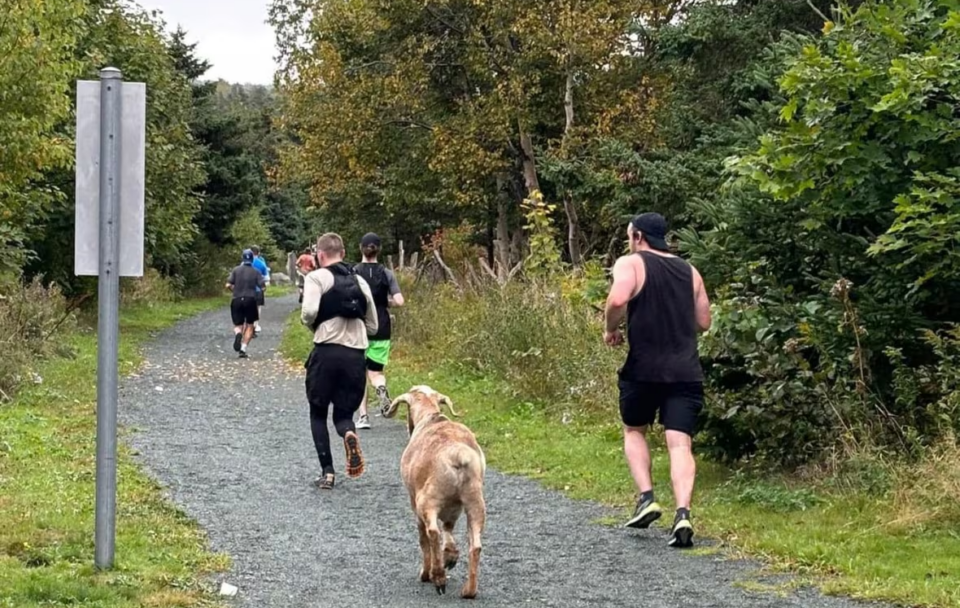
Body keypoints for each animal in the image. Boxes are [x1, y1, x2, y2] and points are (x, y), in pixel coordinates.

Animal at [382, 384, 488, 600]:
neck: (430, 417)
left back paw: (436, 576)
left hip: (427, 501)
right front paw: (450, 556)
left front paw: (427, 573)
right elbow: (448, 530)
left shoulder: (414, 502)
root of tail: (457, 454)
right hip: (474, 502)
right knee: (475, 545)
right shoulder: (454, 508)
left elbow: (424, 538)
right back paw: (468, 590)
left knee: (432, 533)